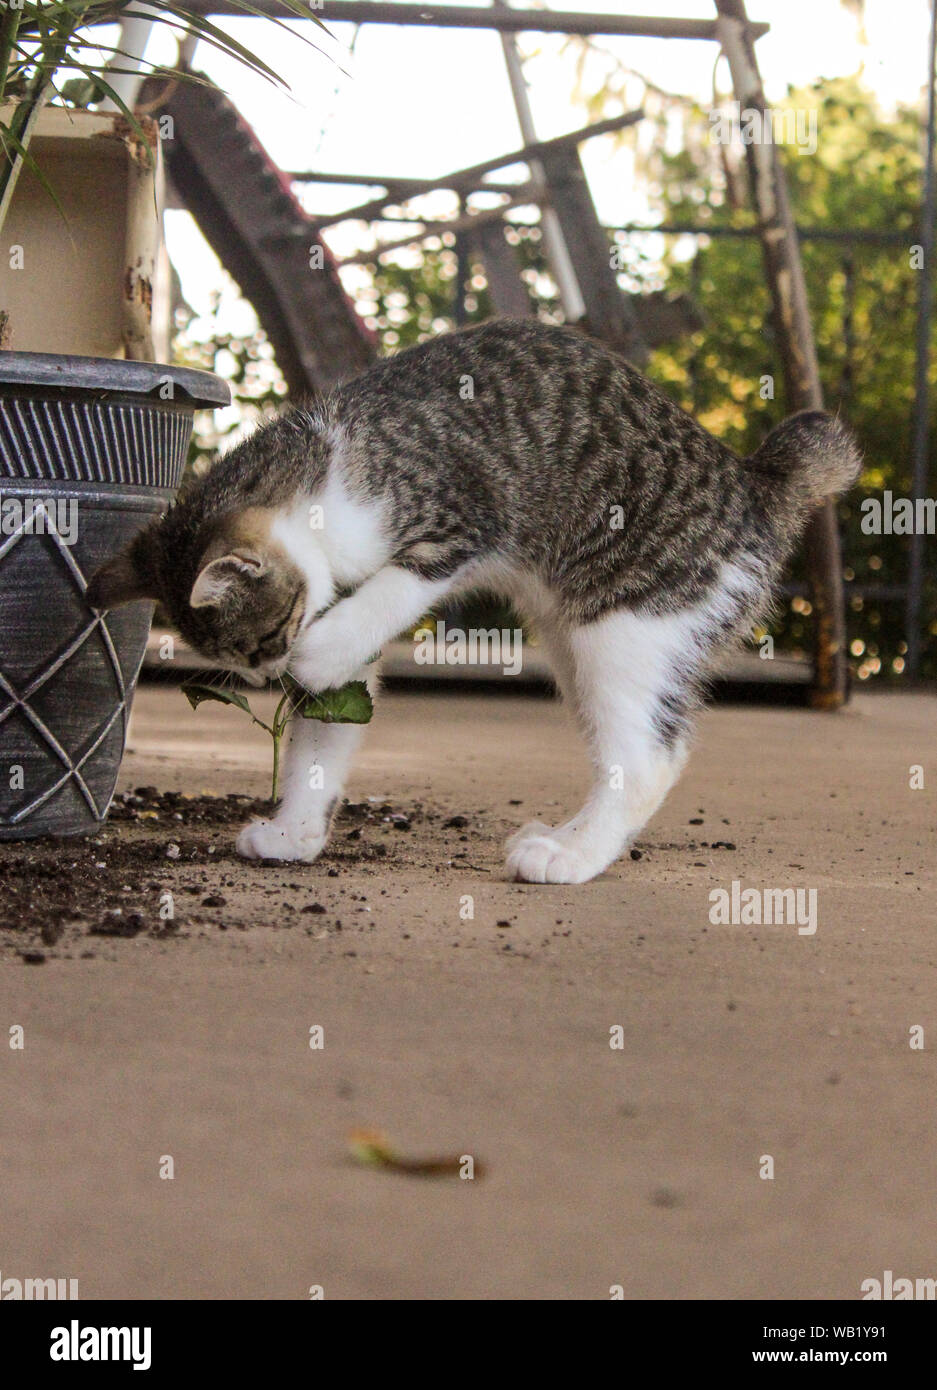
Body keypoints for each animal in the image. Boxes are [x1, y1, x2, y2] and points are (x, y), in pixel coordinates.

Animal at [85, 318, 856, 878]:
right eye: (240, 661)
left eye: (265, 642)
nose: (266, 676)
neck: (325, 474)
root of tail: (753, 486)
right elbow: (324, 733)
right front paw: (295, 831)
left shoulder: (457, 522)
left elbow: (386, 599)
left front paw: (313, 658)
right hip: (577, 645)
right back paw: (567, 835)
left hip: (626, 624)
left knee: (646, 762)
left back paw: (570, 857)